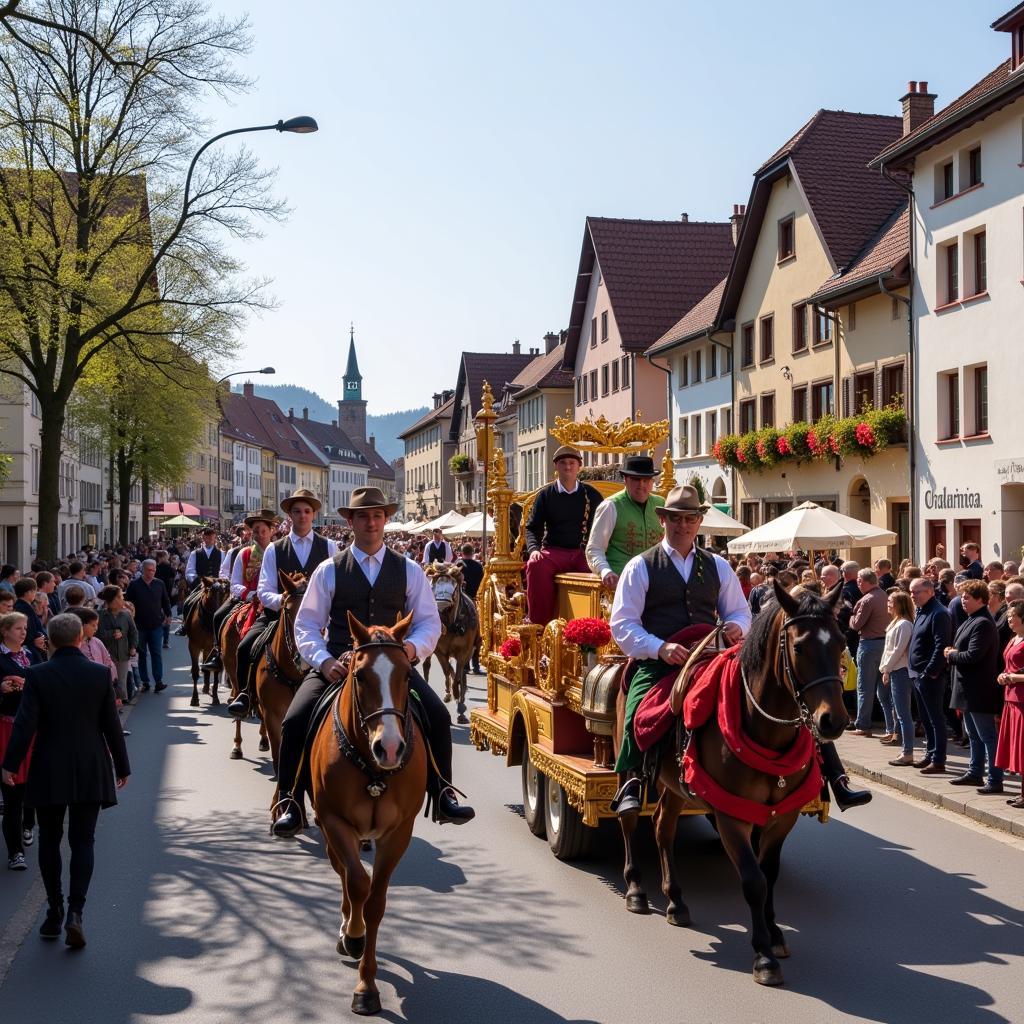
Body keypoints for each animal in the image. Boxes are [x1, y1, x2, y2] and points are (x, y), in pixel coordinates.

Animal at [188, 577, 230, 712]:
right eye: (210, 594)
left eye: (224, 593)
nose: (217, 615)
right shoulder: (193, 646)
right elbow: (195, 671)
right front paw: (194, 699)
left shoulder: (215, 648)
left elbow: (216, 672)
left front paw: (215, 698)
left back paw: (207, 687)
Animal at [309, 610, 425, 1011]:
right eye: (359, 675)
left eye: (407, 674)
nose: (388, 748)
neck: (374, 773)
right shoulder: (335, 822)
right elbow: (357, 883)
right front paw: (355, 936)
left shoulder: (399, 833)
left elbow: (375, 900)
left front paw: (367, 985)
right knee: (345, 871)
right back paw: (347, 929)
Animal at [419, 565, 475, 724]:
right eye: (433, 585)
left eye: (453, 586)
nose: (440, 605)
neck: (452, 625)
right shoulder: (440, 651)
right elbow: (446, 671)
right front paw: (450, 694)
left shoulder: (465, 651)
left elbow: (458, 676)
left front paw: (460, 704)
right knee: (428, 666)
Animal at [614, 577, 847, 983]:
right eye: (799, 646)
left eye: (841, 642)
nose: (833, 720)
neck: (765, 732)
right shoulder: (730, 815)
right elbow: (753, 880)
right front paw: (763, 956)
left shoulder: (781, 817)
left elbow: (770, 874)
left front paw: (775, 934)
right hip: (628, 761)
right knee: (629, 819)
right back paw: (637, 889)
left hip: (676, 786)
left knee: (662, 826)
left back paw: (675, 900)